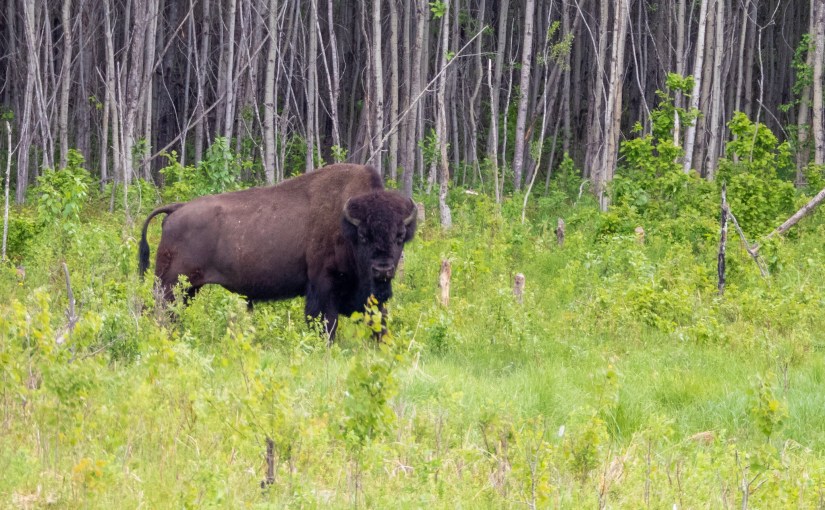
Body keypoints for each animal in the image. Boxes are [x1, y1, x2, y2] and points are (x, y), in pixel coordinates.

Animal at [138, 164, 417, 339]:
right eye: (363, 236)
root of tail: (177, 209)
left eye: (400, 236)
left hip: (187, 288)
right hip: (170, 285)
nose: (383, 269)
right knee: (161, 313)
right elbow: (325, 324)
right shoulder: (323, 287)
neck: (345, 224)